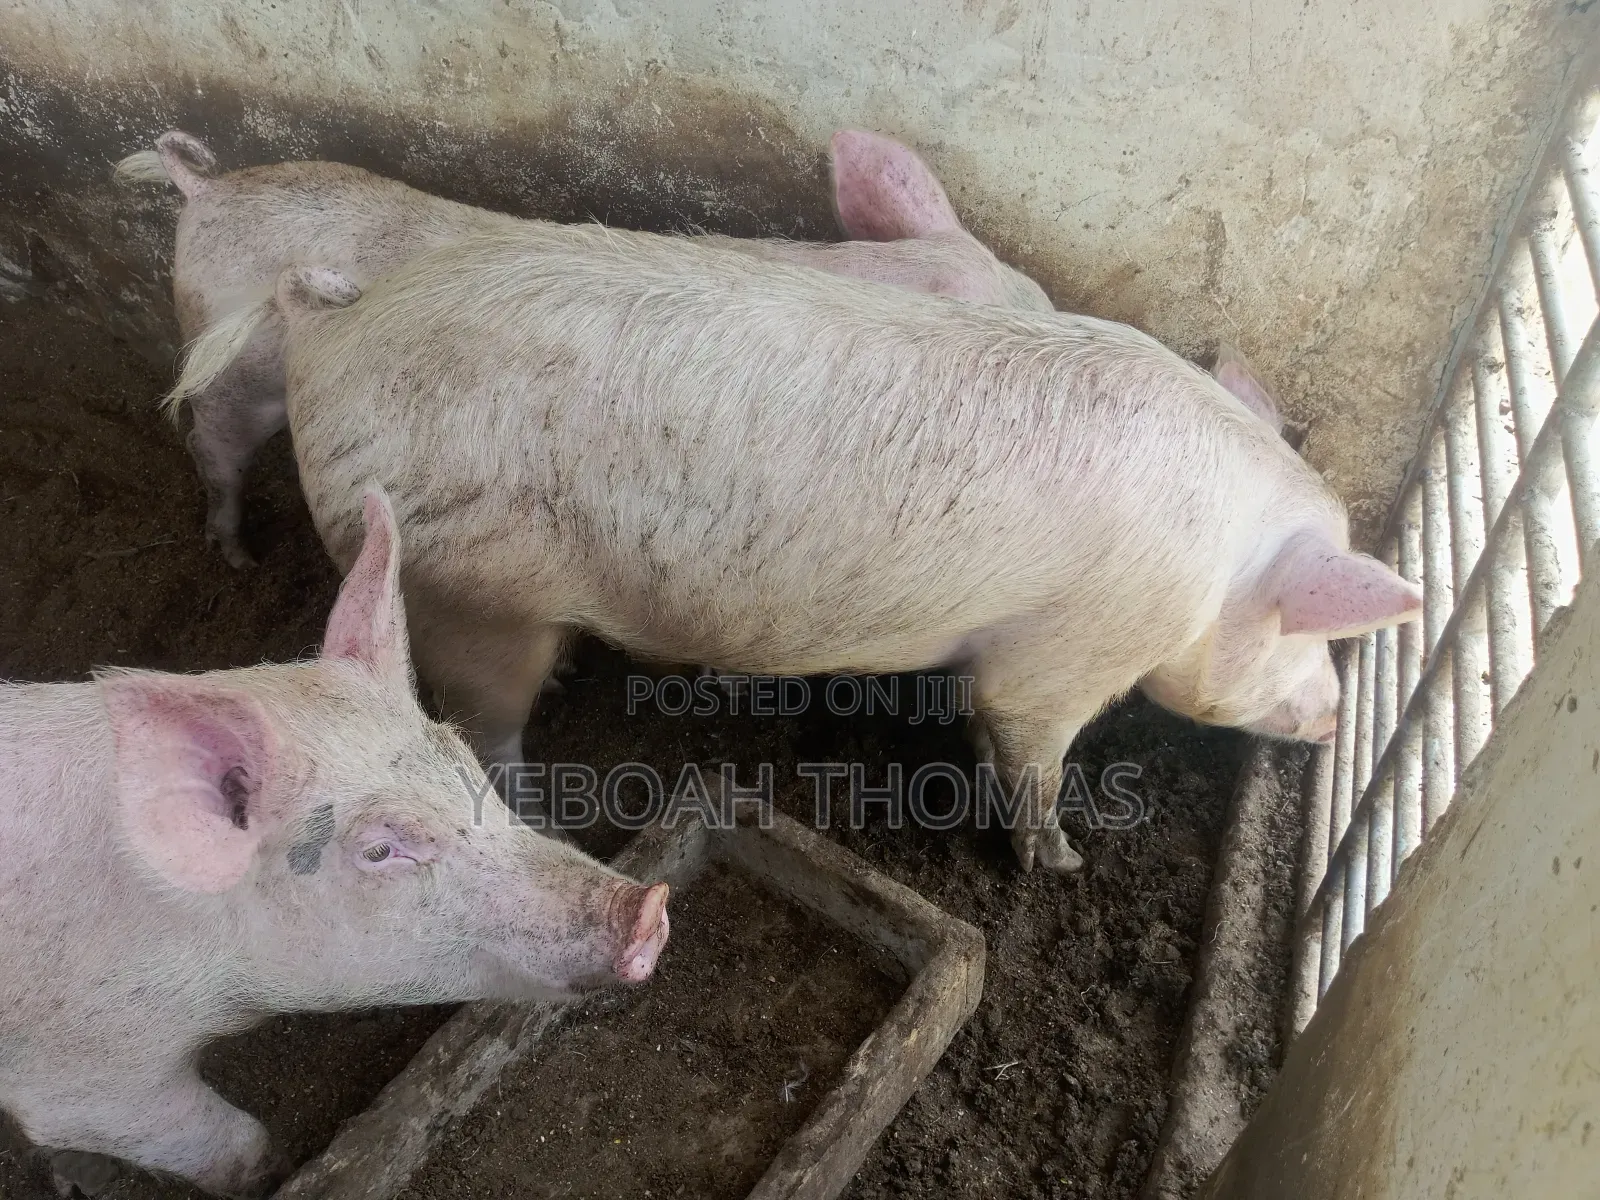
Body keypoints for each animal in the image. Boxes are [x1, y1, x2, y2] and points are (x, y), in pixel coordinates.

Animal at [168, 225, 1422, 878]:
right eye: (1306, 629)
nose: (1330, 717)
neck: (1213, 572)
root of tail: (331, 322)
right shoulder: (1067, 656)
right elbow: (1028, 747)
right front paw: (1059, 864)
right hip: (470, 592)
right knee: (482, 724)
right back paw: (545, 810)